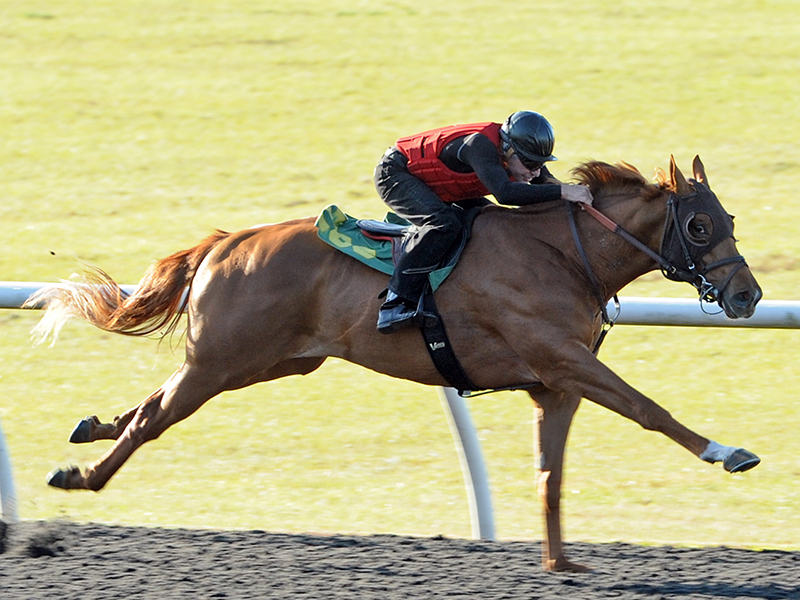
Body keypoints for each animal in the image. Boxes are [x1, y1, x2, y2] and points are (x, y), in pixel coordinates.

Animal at [26, 155, 764, 572]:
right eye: (699, 226)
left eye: (728, 219)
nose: (747, 296)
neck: (562, 253)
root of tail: (229, 241)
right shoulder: (562, 358)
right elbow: (649, 408)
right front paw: (728, 451)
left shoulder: (555, 384)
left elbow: (551, 473)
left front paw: (560, 563)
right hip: (221, 360)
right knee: (153, 416)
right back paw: (83, 476)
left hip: (272, 361)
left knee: (149, 404)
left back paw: (89, 430)